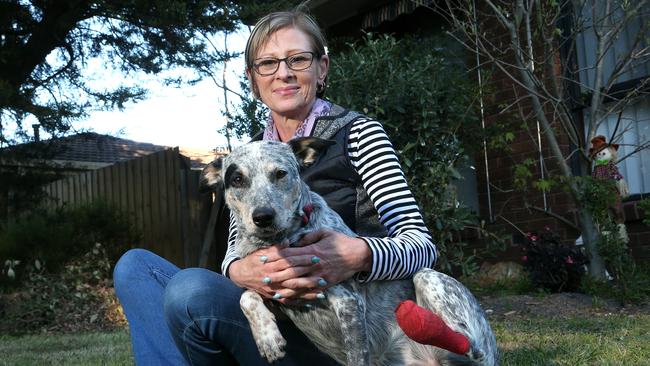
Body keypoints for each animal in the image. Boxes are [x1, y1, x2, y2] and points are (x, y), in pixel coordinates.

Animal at [201, 138, 496, 366]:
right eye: (237, 179)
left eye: (280, 174)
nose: (263, 217)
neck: (281, 241)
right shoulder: (279, 294)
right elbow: (247, 295)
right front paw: (268, 338)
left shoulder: (349, 303)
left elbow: (357, 354)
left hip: (429, 279)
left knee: (470, 344)